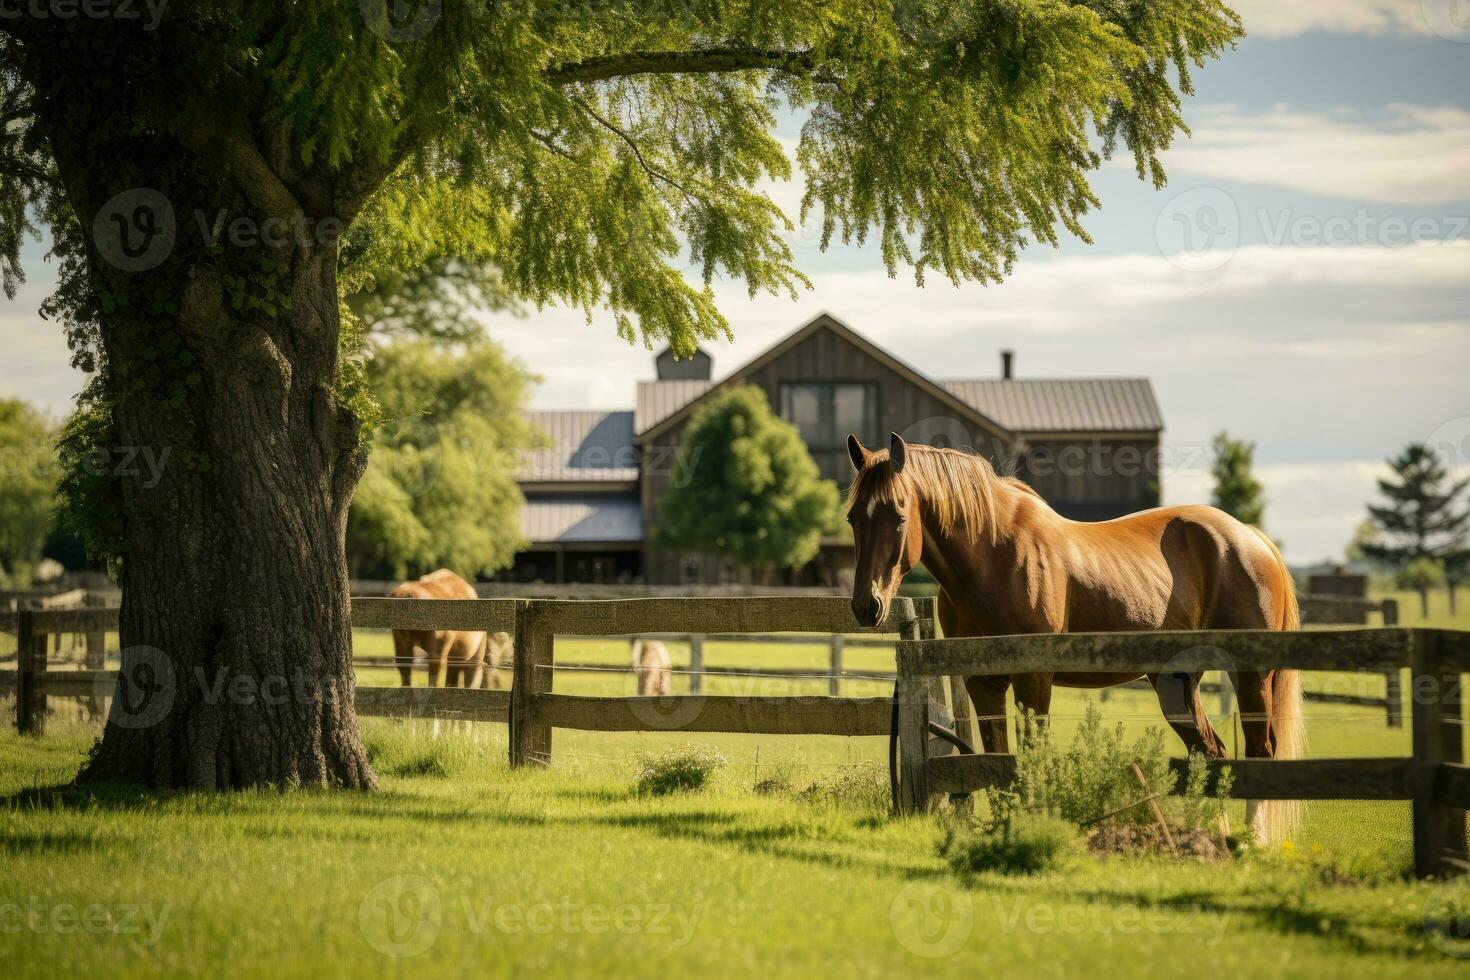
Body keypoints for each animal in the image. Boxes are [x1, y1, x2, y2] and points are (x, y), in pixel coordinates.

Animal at [846, 434, 1305, 846]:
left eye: (899, 514)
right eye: (853, 517)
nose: (867, 605)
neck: (990, 557)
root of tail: (1252, 539)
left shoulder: (1034, 678)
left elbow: (1031, 757)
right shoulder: (983, 683)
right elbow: (997, 762)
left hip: (1251, 676)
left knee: (1260, 751)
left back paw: (1252, 839)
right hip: (1176, 685)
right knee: (1212, 755)